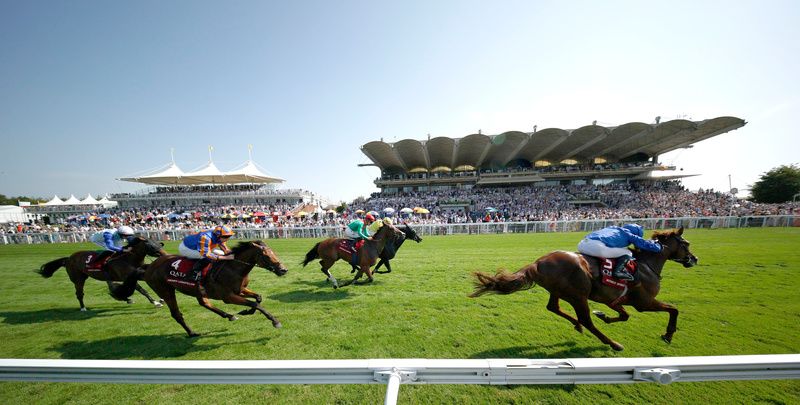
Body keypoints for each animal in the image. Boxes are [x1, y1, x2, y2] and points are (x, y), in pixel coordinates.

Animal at [39, 234, 169, 310]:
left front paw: (161, 298)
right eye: (150, 244)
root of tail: (68, 259)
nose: (164, 253)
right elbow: (143, 290)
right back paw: (83, 308)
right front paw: (156, 302)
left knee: (110, 285)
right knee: (79, 294)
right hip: (78, 279)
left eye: (158, 242)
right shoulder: (128, 276)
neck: (129, 258)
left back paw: (125, 298)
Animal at [109, 238, 288, 336]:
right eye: (266, 255)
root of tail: (148, 267)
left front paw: (246, 312)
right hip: (165, 289)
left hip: (195, 289)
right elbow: (256, 303)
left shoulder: (240, 290)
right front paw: (275, 321)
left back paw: (229, 316)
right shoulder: (228, 297)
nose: (283, 269)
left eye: (273, 253)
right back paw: (192, 333)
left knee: (204, 303)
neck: (234, 268)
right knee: (176, 314)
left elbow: (258, 298)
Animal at [472, 227, 696, 350]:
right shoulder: (644, 302)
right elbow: (673, 309)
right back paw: (612, 343)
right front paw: (668, 334)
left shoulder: (614, 299)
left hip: (560, 291)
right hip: (579, 295)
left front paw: (604, 316)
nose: (694, 259)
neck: (646, 265)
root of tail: (537, 263)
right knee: (586, 320)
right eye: (686, 244)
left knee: (554, 308)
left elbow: (624, 315)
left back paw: (577, 325)